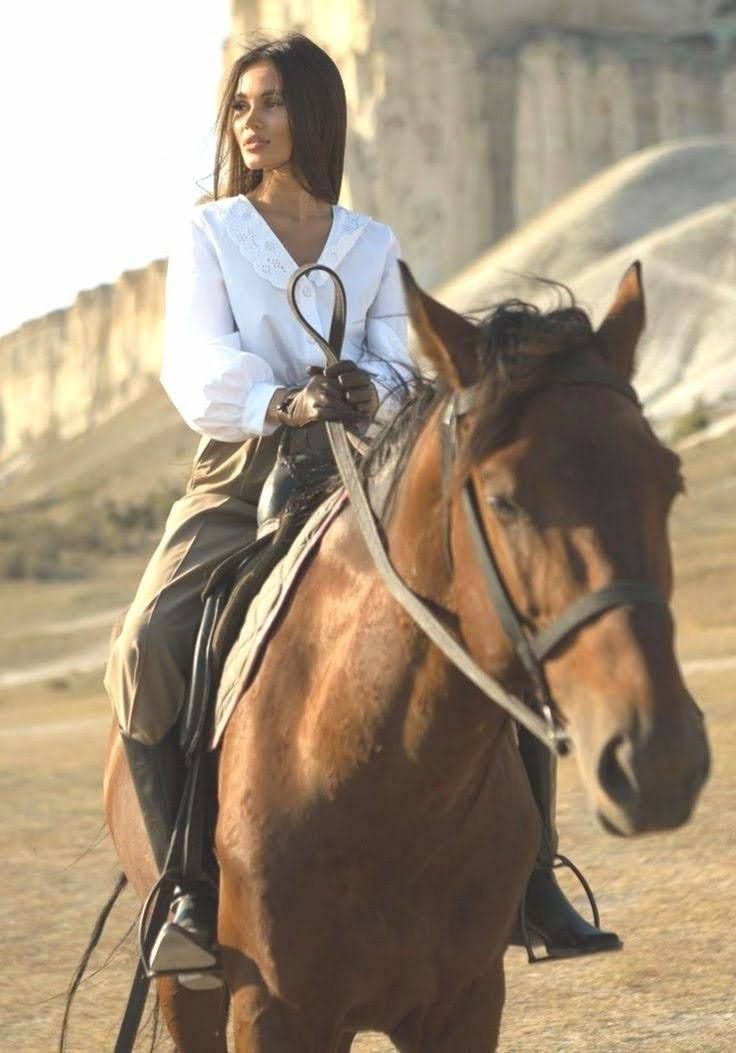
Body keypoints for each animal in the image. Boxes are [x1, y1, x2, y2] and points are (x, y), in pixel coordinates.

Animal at [102, 256, 707, 1053]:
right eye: (503, 500)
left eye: (669, 481)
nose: (660, 761)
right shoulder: (273, 1012)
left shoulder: (465, 1004)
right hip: (185, 990)